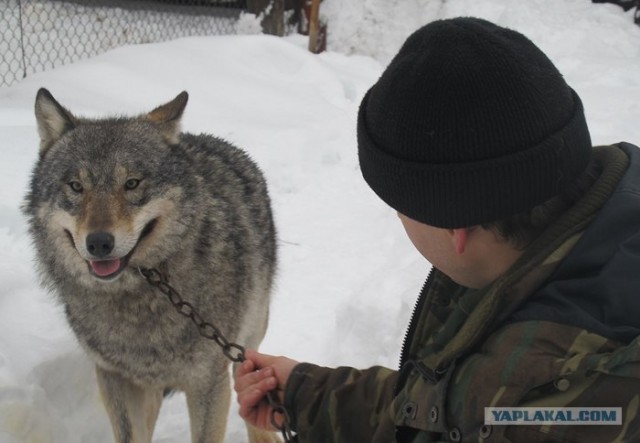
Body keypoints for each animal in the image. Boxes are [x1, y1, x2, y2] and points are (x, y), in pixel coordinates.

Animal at [25, 89, 280, 443]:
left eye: (132, 183)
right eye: (76, 186)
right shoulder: (114, 377)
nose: (99, 243)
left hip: (247, 340)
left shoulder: (208, 381)